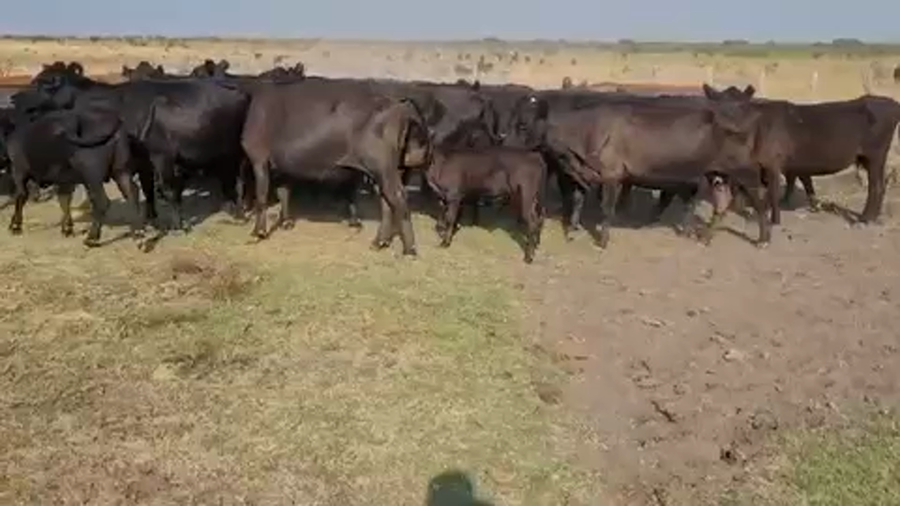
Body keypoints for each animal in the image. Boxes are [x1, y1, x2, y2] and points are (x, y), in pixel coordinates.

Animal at [240, 79, 434, 255]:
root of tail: (397, 105)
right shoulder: (283, 166)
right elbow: (284, 192)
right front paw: (286, 222)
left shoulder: (259, 158)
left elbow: (261, 196)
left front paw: (258, 233)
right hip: (392, 170)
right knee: (387, 201)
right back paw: (380, 242)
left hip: (382, 167)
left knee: (398, 197)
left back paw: (409, 249)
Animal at [505, 93, 772, 248]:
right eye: (511, 119)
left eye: (523, 125)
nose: (503, 142)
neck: (586, 131)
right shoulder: (583, 174)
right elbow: (578, 200)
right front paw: (571, 229)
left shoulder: (612, 176)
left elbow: (607, 209)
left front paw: (603, 240)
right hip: (718, 174)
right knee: (722, 203)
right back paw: (705, 237)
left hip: (746, 173)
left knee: (760, 202)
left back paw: (763, 239)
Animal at [703, 84, 900, 224]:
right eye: (719, 106)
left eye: (742, 106)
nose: (731, 125)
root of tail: (890, 103)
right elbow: (796, 181)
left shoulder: (773, 163)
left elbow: (774, 190)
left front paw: (775, 219)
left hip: (875, 156)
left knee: (876, 187)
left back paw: (865, 219)